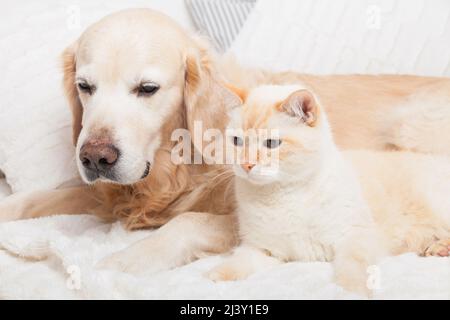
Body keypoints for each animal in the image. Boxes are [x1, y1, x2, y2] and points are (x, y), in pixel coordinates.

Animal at [207, 84, 450, 296]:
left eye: (272, 144)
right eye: (237, 141)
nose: (246, 164)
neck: (282, 196)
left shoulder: (353, 238)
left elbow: (352, 270)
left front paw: (352, 293)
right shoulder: (261, 249)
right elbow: (238, 262)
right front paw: (214, 277)